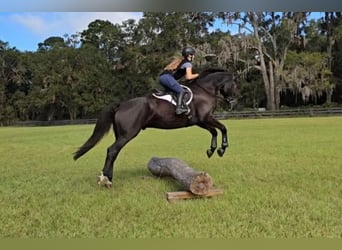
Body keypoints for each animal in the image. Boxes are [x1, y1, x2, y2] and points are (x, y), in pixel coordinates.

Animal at [73, 68, 238, 188]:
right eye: (234, 85)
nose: (233, 101)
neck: (205, 90)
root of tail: (121, 104)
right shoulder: (206, 118)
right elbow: (223, 128)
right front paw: (222, 148)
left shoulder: (200, 121)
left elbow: (214, 131)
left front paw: (212, 150)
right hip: (128, 134)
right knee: (112, 150)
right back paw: (107, 180)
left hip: (120, 134)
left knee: (113, 152)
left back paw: (107, 178)